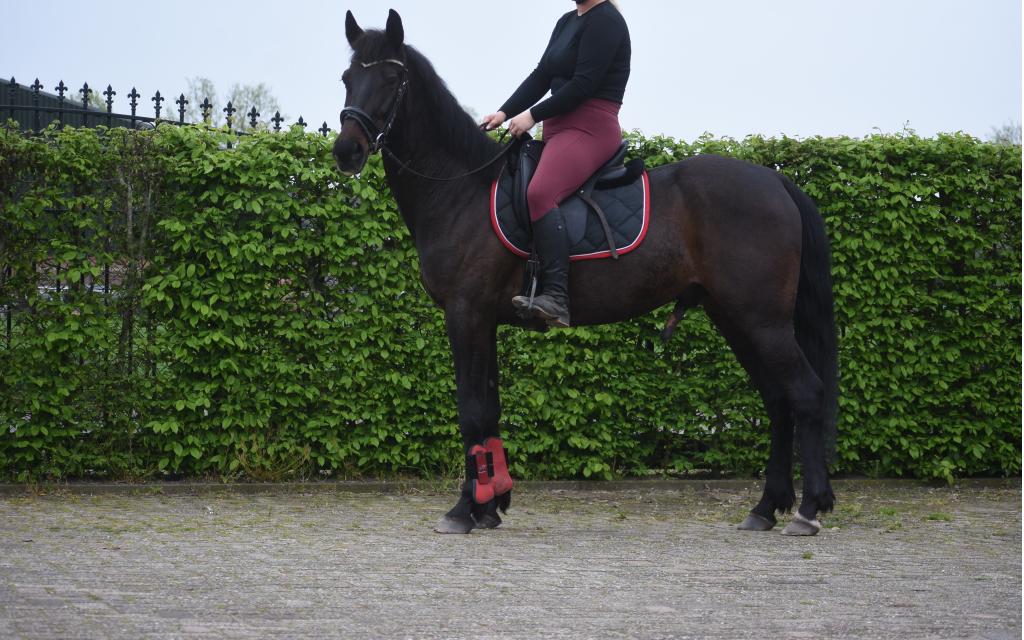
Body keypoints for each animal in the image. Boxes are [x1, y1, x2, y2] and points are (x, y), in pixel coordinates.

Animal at [332, 9, 839, 537]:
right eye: (348, 78)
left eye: (391, 80)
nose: (346, 150)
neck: (463, 189)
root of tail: (775, 180)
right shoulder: (484, 320)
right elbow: (489, 411)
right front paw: (491, 504)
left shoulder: (464, 314)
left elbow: (470, 411)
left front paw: (463, 509)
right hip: (735, 319)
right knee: (778, 402)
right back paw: (765, 507)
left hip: (762, 322)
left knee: (804, 395)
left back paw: (807, 510)